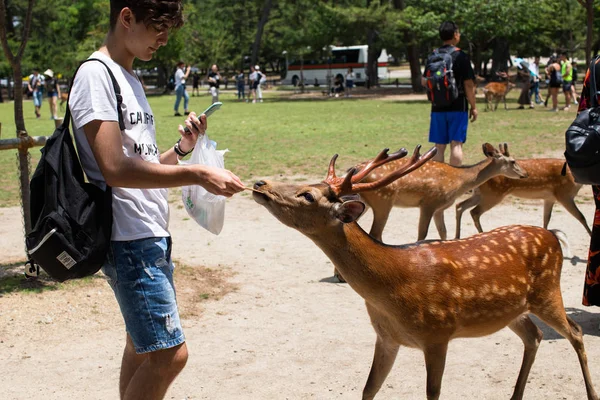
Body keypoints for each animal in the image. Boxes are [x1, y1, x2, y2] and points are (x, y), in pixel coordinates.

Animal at [354, 144, 528, 244]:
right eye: (513, 161)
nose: (525, 174)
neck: (459, 181)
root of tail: (355, 168)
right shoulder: (429, 202)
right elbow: (422, 233)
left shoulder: (440, 208)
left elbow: (443, 231)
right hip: (383, 200)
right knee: (375, 233)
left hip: (366, 202)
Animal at [454, 159, 592, 239]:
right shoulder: (564, 194)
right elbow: (581, 217)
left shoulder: (549, 198)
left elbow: (546, 218)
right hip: (493, 194)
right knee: (474, 211)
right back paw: (481, 234)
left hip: (480, 194)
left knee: (460, 205)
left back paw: (457, 236)